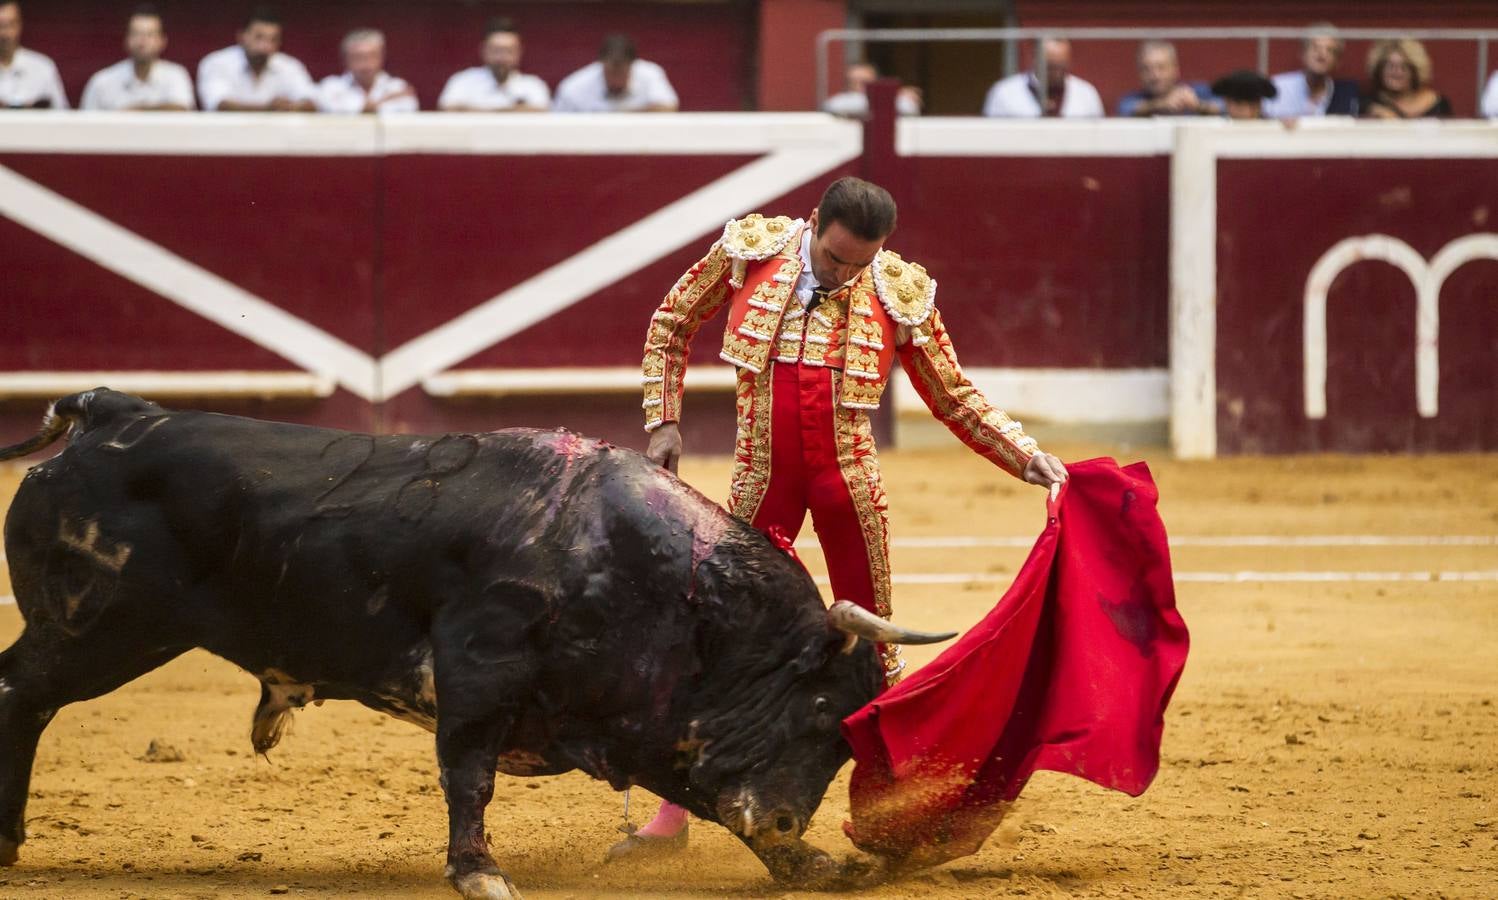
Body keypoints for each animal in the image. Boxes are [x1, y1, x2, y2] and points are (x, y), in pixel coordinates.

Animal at [0, 389, 952, 892]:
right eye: (820, 707)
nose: (791, 816)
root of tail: (108, 411)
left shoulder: (638, 720)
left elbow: (710, 795)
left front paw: (815, 861)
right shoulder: (478, 671)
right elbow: (470, 777)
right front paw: (477, 870)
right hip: (98, 630)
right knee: (20, 697)